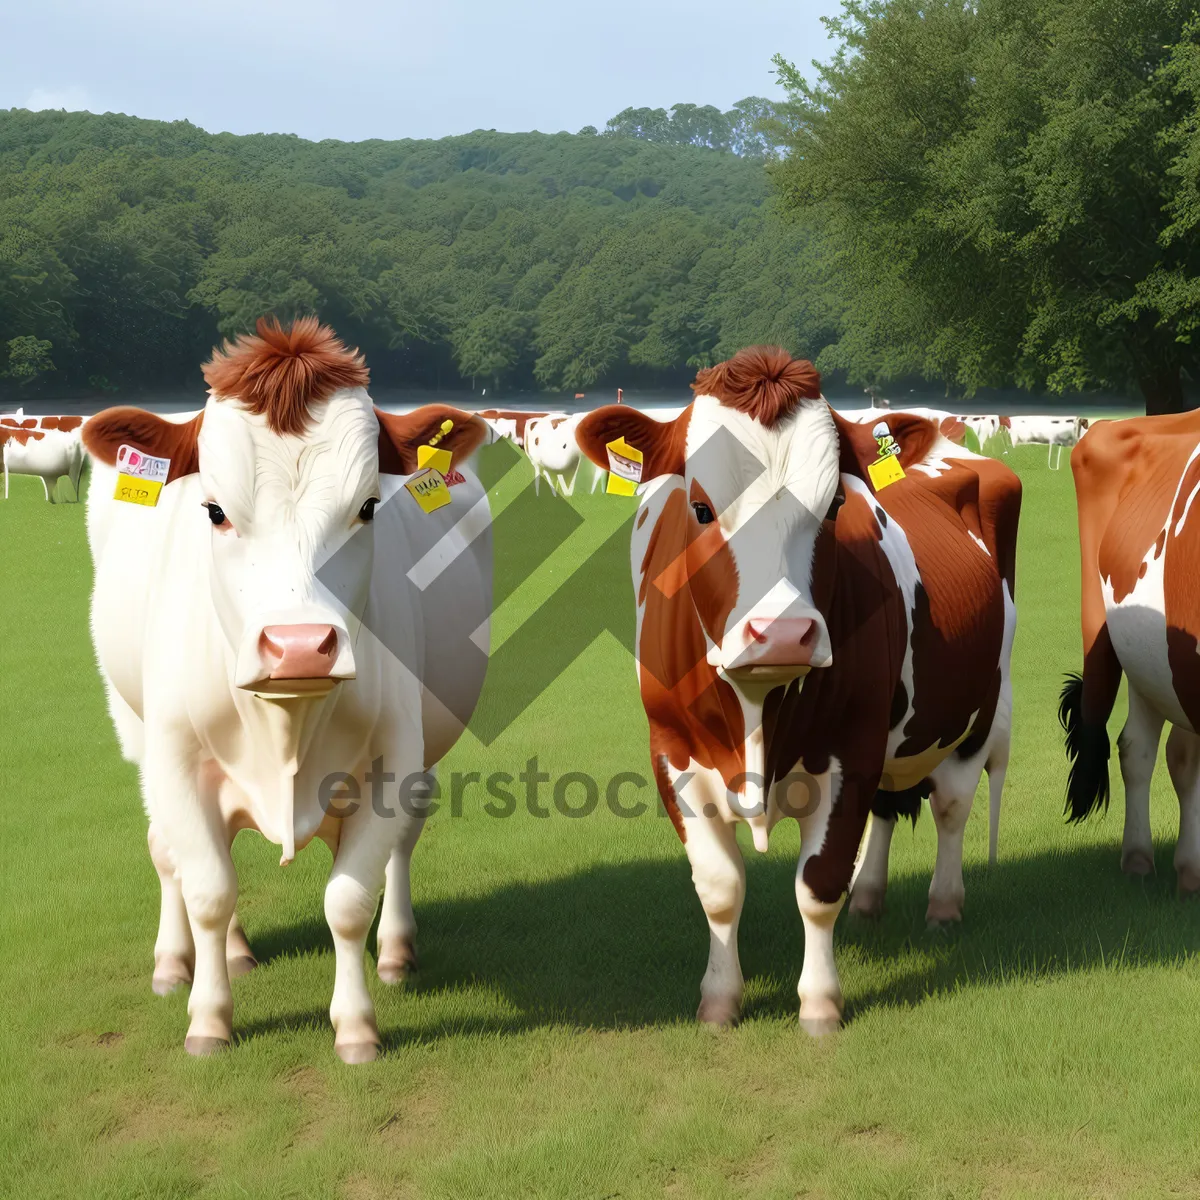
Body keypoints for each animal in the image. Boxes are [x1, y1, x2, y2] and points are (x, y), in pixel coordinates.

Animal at [83, 316, 492, 1060]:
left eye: (368, 507)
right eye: (214, 511)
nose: (299, 646)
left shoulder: (394, 758)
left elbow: (349, 900)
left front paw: (356, 1025)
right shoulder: (174, 759)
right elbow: (209, 889)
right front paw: (208, 1018)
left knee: (403, 844)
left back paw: (396, 952)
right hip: (136, 731)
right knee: (170, 856)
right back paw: (184, 961)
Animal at [576, 345, 1017, 1032]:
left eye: (834, 505)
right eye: (700, 508)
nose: (782, 633)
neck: (757, 715)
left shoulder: (852, 749)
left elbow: (818, 883)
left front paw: (820, 1004)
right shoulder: (670, 751)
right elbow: (720, 887)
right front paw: (719, 1000)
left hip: (977, 709)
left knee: (950, 808)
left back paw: (944, 905)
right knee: (891, 807)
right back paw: (870, 899)